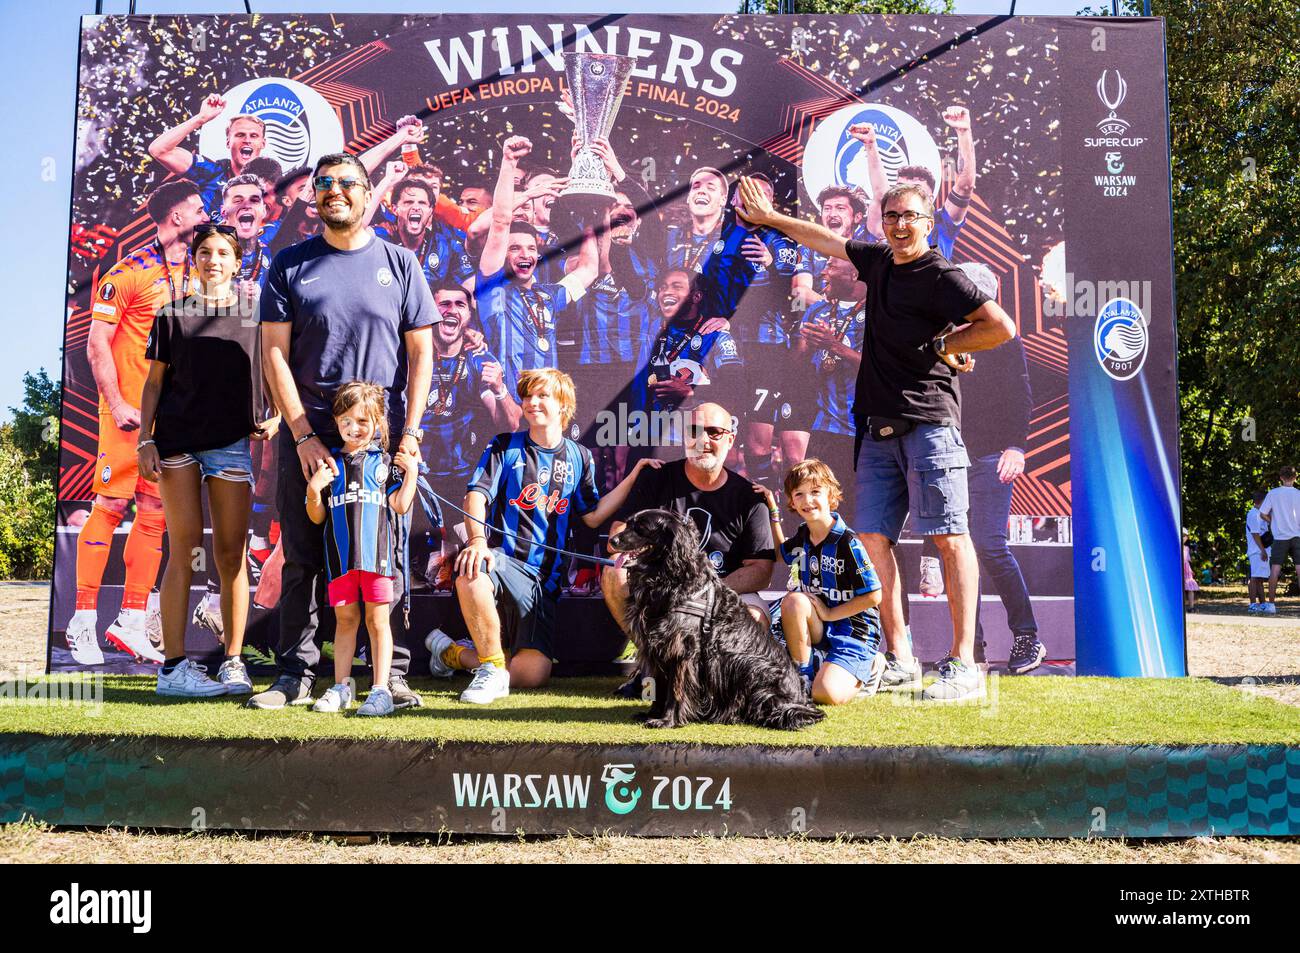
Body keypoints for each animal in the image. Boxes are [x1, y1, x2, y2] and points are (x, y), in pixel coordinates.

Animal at [608, 512, 821, 728]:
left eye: (641, 528)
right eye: (628, 524)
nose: (612, 541)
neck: (668, 579)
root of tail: (801, 698)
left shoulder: (682, 650)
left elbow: (675, 690)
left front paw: (667, 720)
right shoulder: (656, 647)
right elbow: (658, 685)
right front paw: (652, 714)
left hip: (752, 667)